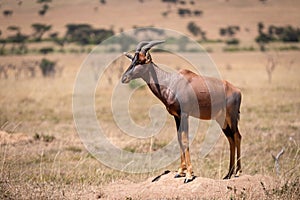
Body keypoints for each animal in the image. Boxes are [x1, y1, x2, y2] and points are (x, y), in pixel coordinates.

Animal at [120, 40, 243, 183]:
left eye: (141, 61)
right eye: (132, 60)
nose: (124, 78)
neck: (171, 82)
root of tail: (236, 90)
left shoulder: (185, 115)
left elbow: (185, 139)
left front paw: (189, 175)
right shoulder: (177, 116)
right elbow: (179, 139)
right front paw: (180, 172)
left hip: (232, 117)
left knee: (237, 136)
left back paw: (238, 172)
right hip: (221, 120)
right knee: (230, 139)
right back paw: (228, 174)